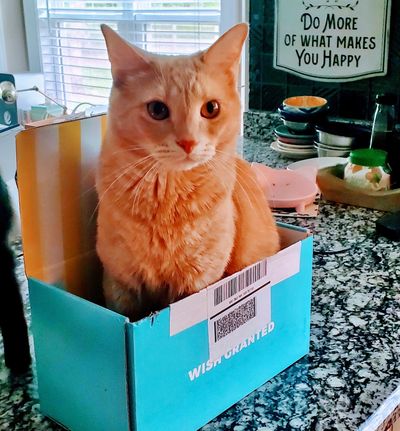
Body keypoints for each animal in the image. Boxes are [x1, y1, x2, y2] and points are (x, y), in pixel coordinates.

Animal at [96, 23, 278, 320]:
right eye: (157, 109)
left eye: (211, 108)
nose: (188, 142)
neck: (167, 199)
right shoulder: (120, 283)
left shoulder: (197, 284)